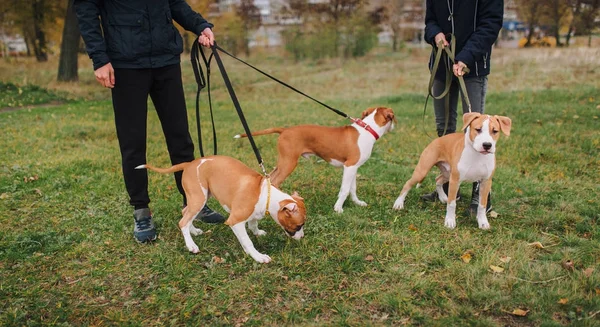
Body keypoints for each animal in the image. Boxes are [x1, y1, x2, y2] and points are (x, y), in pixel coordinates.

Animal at [136, 155, 304, 266]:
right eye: (299, 225)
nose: (302, 237)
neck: (266, 195)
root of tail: (190, 164)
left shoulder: (252, 212)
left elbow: (253, 222)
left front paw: (257, 232)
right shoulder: (235, 221)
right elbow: (248, 242)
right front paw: (258, 256)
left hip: (199, 198)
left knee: (186, 214)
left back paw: (193, 231)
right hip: (199, 198)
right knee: (183, 221)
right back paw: (191, 245)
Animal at [236, 107, 398, 213]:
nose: (395, 127)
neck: (367, 129)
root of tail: (284, 130)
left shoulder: (353, 167)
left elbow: (352, 188)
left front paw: (357, 203)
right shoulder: (350, 166)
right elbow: (345, 190)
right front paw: (338, 208)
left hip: (283, 162)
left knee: (269, 179)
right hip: (289, 163)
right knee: (274, 181)